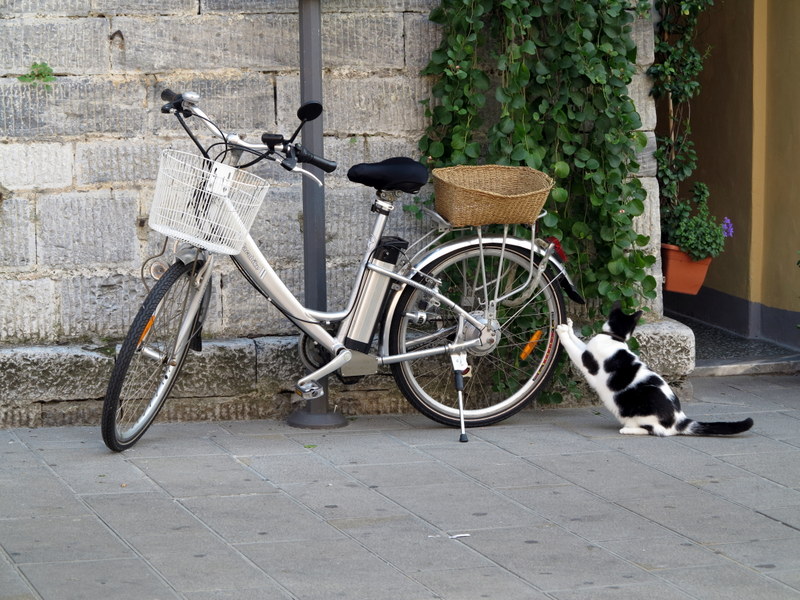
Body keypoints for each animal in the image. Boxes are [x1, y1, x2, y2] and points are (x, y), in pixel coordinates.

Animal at [555, 308, 754, 436]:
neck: (614, 338)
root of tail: (680, 419)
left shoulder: (586, 360)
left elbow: (573, 348)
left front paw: (562, 332)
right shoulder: (587, 350)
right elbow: (578, 342)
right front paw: (569, 326)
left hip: (639, 408)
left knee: (653, 430)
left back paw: (627, 429)